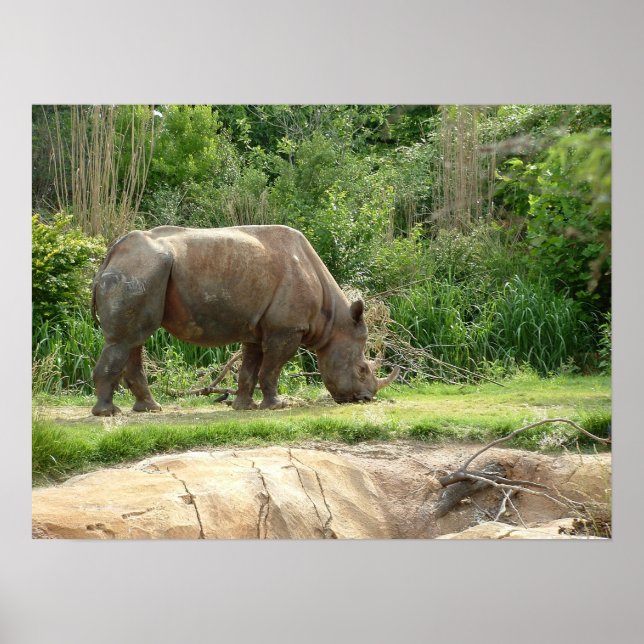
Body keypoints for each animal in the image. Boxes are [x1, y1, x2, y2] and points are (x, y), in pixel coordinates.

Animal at [90, 225, 399, 416]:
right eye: (362, 369)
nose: (366, 398)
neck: (333, 321)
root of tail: (111, 254)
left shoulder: (258, 328)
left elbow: (250, 368)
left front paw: (244, 407)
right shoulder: (286, 329)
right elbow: (272, 368)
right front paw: (276, 406)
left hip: (140, 271)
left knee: (134, 340)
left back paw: (149, 409)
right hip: (138, 272)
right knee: (125, 339)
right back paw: (108, 413)